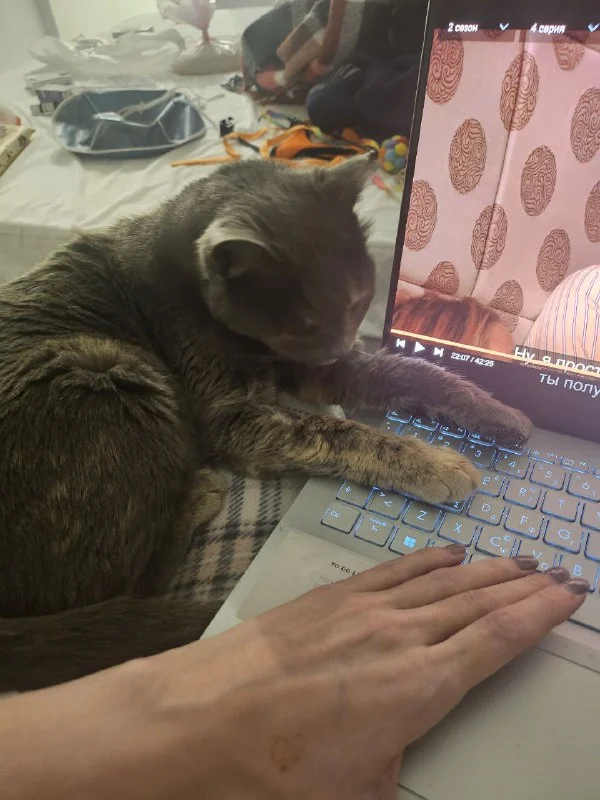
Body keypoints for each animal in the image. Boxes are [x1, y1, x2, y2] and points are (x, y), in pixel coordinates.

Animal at [0, 157, 530, 691]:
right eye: (303, 325)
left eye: (358, 301)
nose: (338, 347)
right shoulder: (235, 417)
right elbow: (344, 433)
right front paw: (437, 464)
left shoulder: (316, 371)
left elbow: (406, 371)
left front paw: (499, 413)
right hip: (107, 367)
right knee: (124, 592)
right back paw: (199, 492)